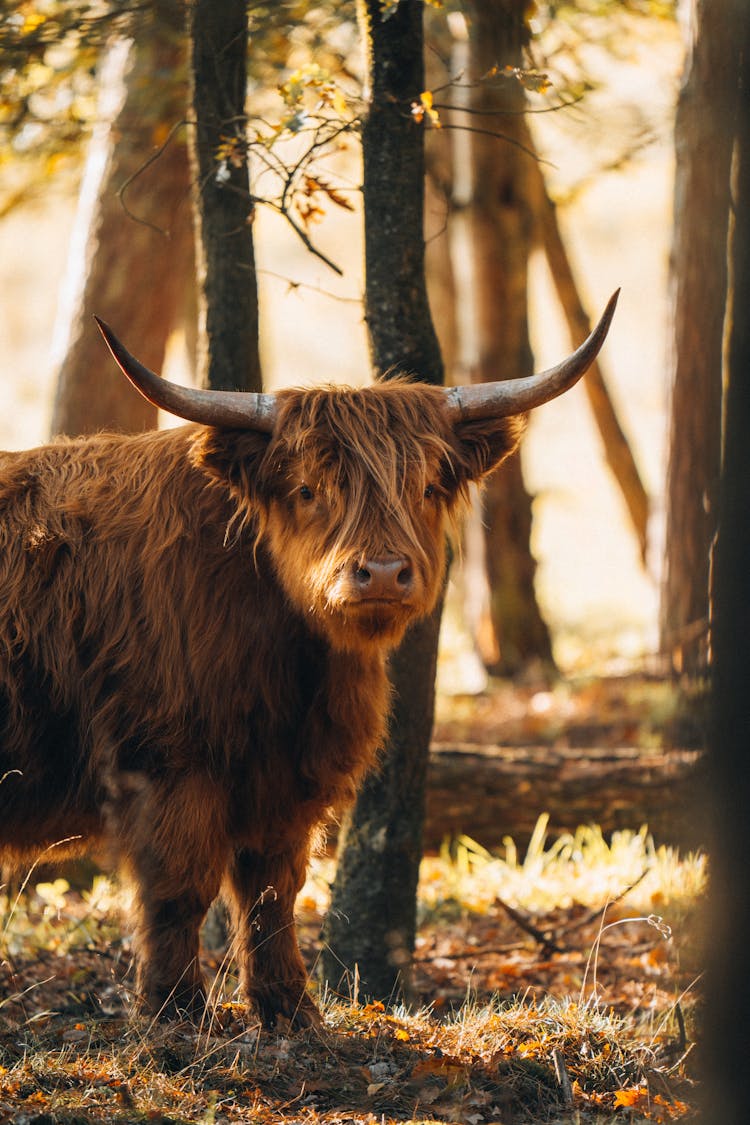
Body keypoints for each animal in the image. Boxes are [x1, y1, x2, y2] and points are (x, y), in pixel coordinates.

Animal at [0, 290, 620, 1030]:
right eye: (307, 489)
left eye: (427, 486)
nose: (381, 573)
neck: (291, 668)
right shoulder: (167, 761)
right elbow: (180, 887)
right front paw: (174, 1013)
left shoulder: (285, 776)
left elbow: (273, 888)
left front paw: (291, 1010)